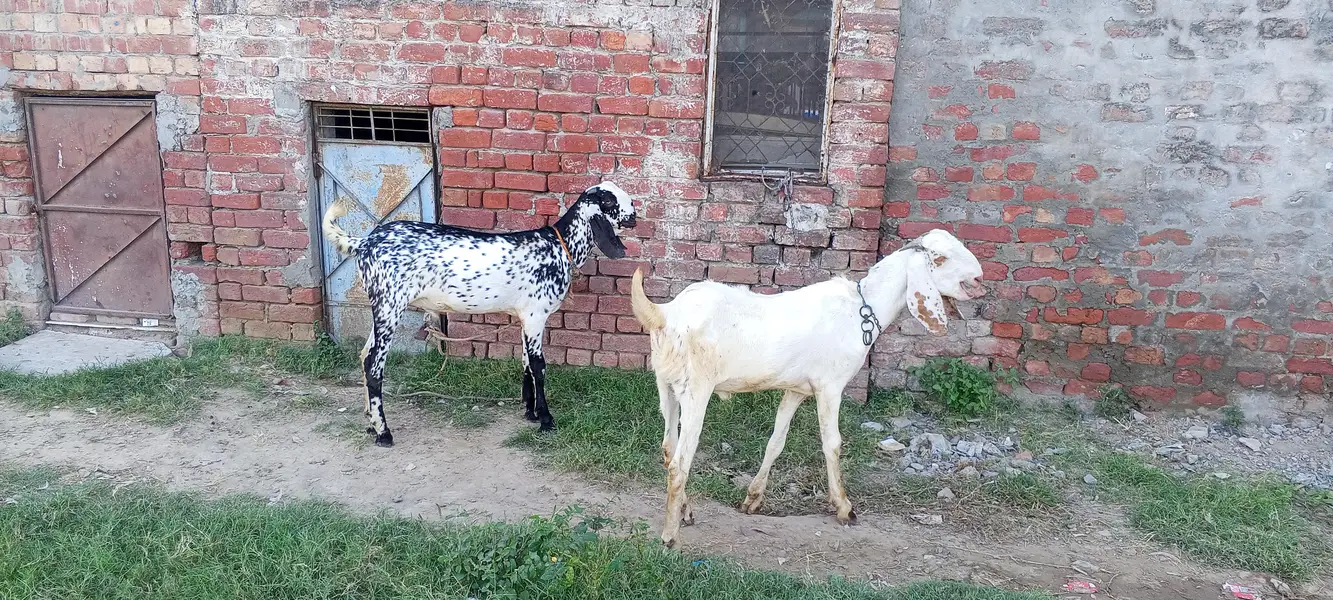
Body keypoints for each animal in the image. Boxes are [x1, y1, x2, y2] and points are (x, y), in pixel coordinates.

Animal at [323, 182, 637, 447]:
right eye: (609, 200)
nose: (634, 215)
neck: (558, 246)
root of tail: (364, 243)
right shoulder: (536, 315)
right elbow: (539, 365)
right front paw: (546, 419)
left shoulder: (525, 316)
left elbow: (525, 361)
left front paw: (530, 412)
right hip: (390, 304)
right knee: (374, 364)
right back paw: (384, 432)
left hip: (381, 306)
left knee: (364, 354)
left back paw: (370, 423)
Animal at [630, 229, 985, 547]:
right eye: (940, 258)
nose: (979, 280)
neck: (863, 308)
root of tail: (666, 314)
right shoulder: (830, 386)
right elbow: (832, 443)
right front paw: (844, 507)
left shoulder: (798, 389)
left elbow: (776, 441)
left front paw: (753, 498)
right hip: (696, 389)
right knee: (680, 461)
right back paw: (670, 536)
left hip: (667, 385)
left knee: (668, 448)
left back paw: (685, 512)